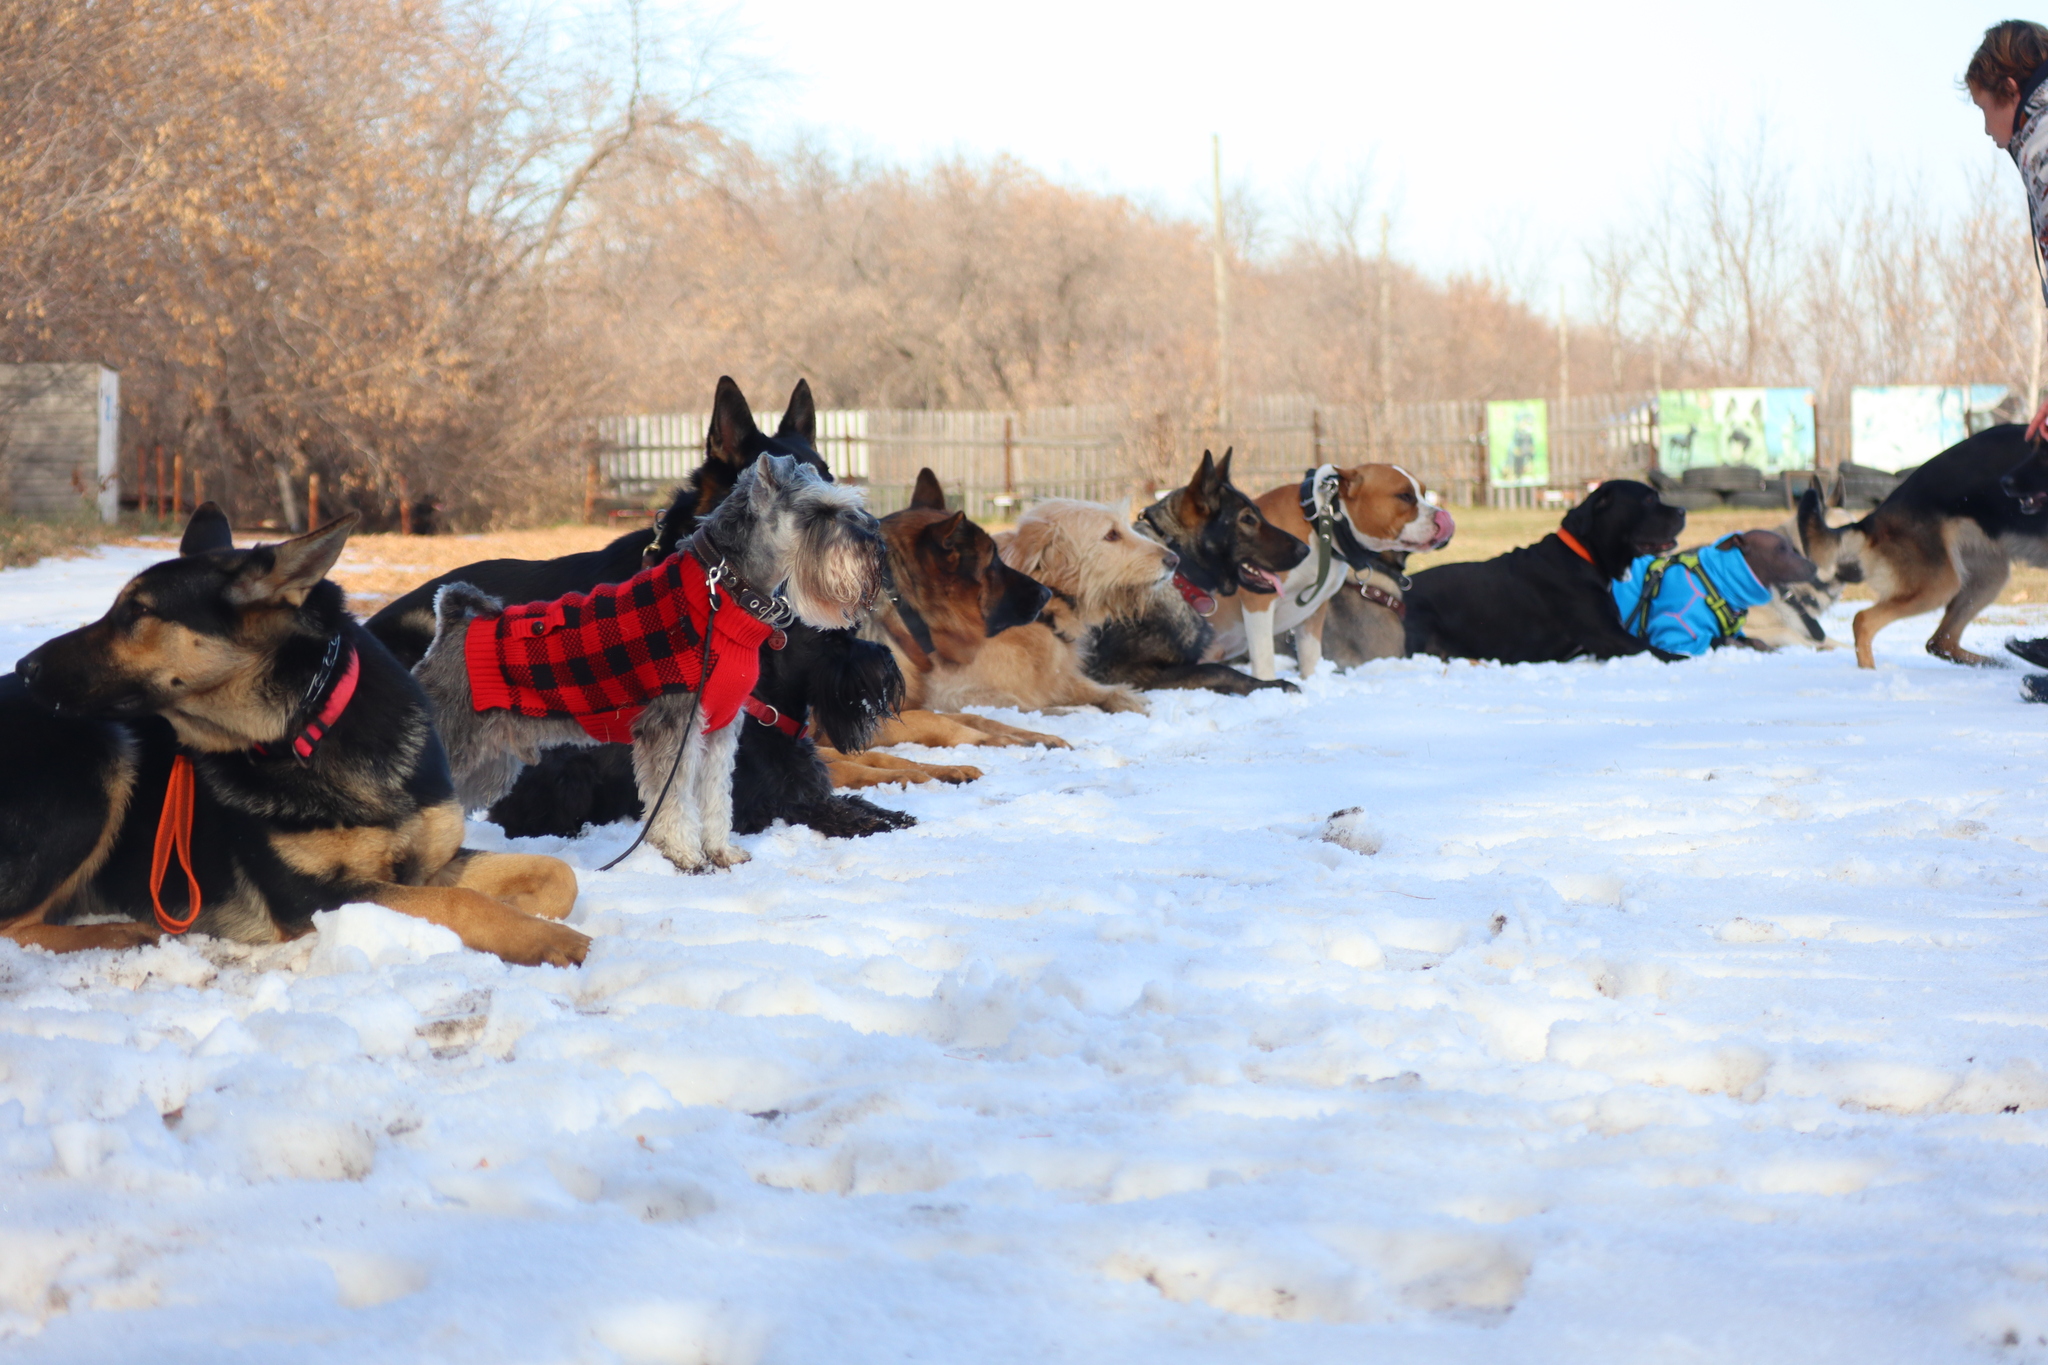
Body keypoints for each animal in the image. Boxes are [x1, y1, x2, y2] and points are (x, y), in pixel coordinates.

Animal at [1196, 466, 1458, 679]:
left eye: (1423, 492)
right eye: (1404, 495)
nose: (1443, 516)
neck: (1323, 525)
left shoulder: (1313, 608)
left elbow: (1310, 656)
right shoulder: (1258, 599)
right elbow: (1264, 657)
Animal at [1605, 532, 1818, 658]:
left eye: (1792, 548)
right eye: (1781, 549)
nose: (1813, 567)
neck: (1716, 580)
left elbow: (1755, 641)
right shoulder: (1674, 639)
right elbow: (1728, 641)